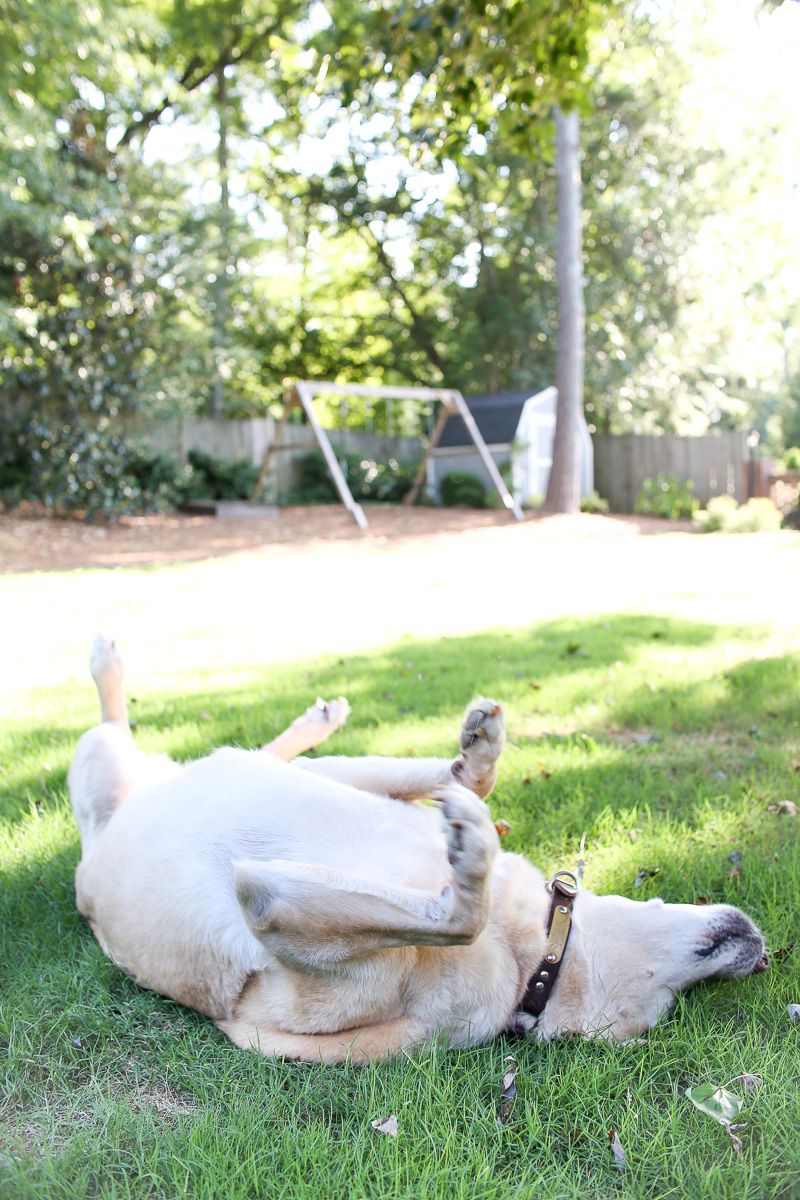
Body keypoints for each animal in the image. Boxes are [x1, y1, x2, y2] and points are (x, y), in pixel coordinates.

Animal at [68, 633, 767, 1065]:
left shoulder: (274, 921)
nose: (760, 956)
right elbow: (468, 786)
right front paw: (478, 759)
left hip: (102, 764)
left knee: (126, 730)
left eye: (661, 1014)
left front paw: (470, 862)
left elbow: (457, 916)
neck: (526, 957)